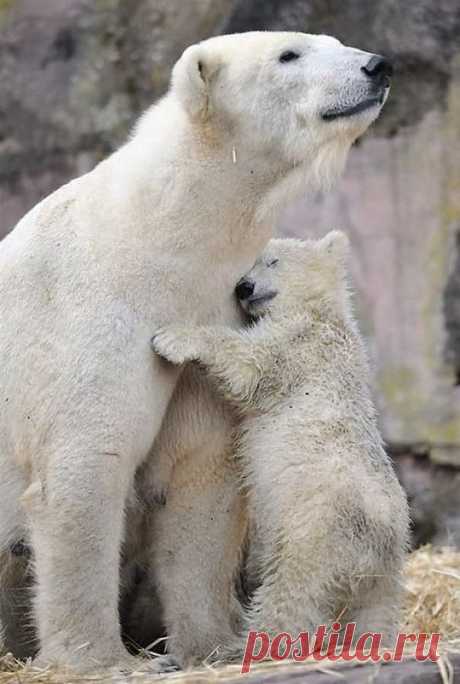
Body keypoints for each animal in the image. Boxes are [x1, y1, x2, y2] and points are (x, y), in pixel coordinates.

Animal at [0, 34, 392, 672]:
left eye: (332, 41)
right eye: (289, 54)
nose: (377, 66)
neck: (145, 248)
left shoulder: (206, 326)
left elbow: (199, 477)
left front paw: (209, 646)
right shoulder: (86, 327)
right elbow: (86, 469)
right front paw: (105, 661)